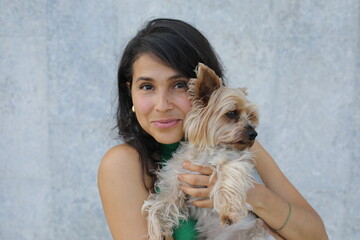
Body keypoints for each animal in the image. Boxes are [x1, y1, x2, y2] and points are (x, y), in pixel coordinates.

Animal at [141, 62, 272, 239]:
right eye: (232, 113)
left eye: (250, 116)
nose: (253, 134)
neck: (206, 151)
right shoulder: (176, 182)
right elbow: (159, 204)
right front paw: (156, 231)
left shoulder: (236, 160)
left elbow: (228, 174)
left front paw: (228, 211)